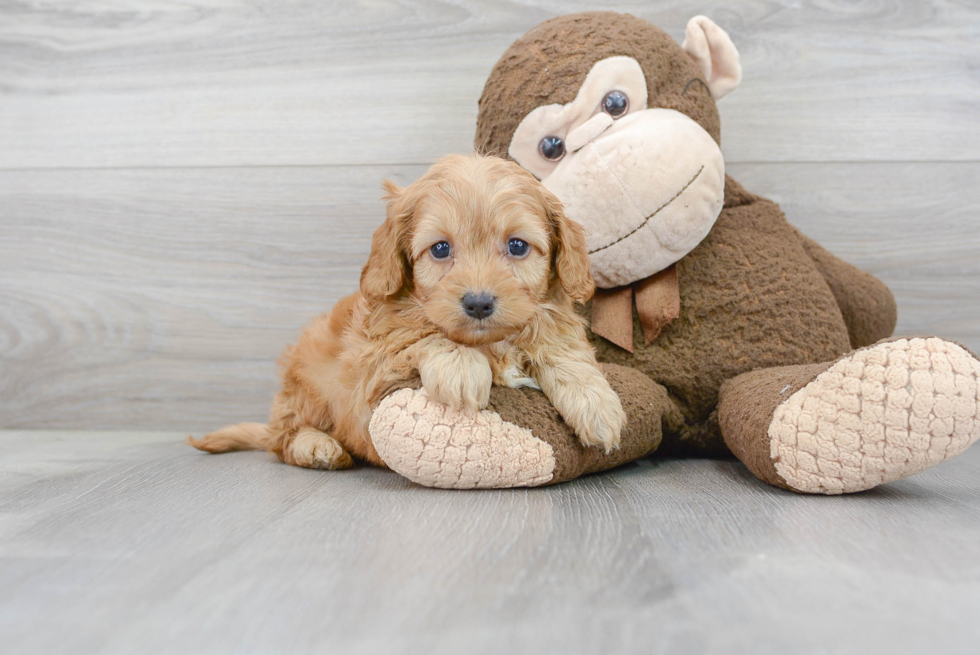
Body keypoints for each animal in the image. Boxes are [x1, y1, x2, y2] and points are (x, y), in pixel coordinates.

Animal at [188, 154, 624, 472]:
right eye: (440, 249)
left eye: (517, 246)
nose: (478, 303)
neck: (492, 343)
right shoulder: (372, 367)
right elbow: (418, 334)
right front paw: (462, 366)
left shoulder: (550, 320)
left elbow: (562, 347)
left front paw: (596, 402)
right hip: (305, 384)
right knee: (282, 439)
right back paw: (317, 446)